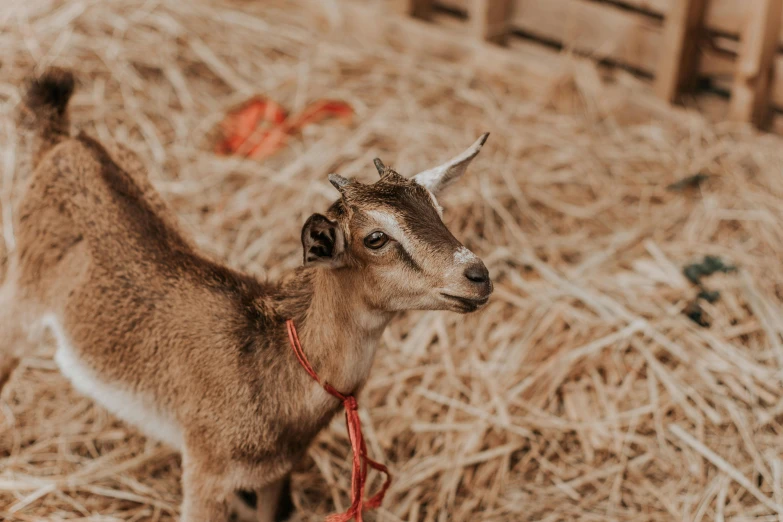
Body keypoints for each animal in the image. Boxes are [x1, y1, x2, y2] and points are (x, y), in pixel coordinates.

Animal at [0, 69, 494, 520]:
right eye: (375, 238)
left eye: (438, 210)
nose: (478, 275)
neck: (269, 363)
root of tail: (64, 141)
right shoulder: (205, 471)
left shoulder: (275, 474)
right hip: (23, 298)